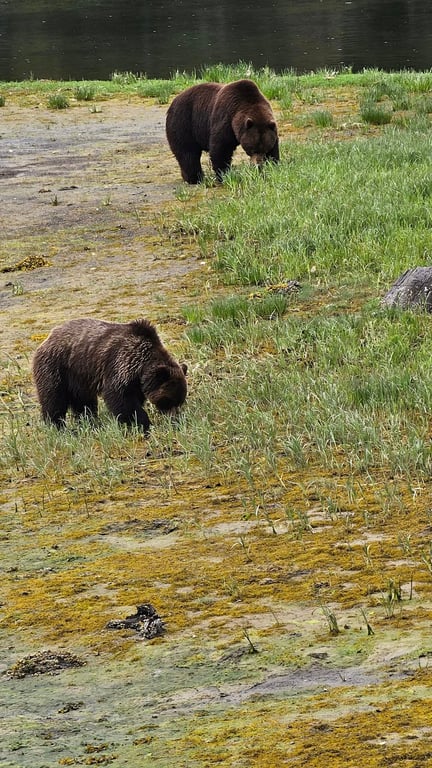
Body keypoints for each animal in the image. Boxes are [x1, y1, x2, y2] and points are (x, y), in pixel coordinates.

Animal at [32, 317, 188, 432]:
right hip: (56, 368)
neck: (140, 367)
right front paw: (143, 423)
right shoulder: (119, 366)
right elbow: (121, 399)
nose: (176, 420)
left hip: (79, 377)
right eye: (168, 400)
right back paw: (58, 427)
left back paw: (89, 422)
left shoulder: (136, 382)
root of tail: (46, 339)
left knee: (83, 402)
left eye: (180, 401)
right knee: (54, 399)